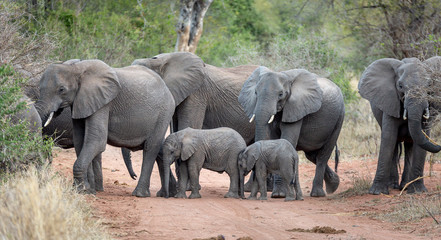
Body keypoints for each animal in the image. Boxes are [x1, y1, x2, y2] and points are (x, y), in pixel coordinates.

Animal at [35, 59, 174, 197]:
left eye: (61, 89)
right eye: (39, 89)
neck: (76, 68)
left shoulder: (103, 103)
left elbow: (97, 140)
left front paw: (81, 190)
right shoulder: (80, 103)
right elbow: (80, 141)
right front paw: (87, 190)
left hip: (164, 113)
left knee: (151, 148)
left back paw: (140, 194)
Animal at [237, 66, 344, 198]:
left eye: (281, 94)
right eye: (256, 93)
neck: (285, 76)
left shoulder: (297, 107)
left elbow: (287, 139)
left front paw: (279, 195)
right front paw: (278, 194)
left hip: (339, 118)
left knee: (322, 155)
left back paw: (317, 194)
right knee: (312, 155)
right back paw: (334, 185)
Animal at [358, 56, 440, 195]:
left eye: (429, 85)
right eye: (400, 86)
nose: (439, 145)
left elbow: (422, 139)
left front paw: (417, 191)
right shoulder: (390, 101)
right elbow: (388, 138)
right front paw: (377, 192)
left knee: (409, 146)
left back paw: (404, 186)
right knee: (395, 146)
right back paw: (394, 186)